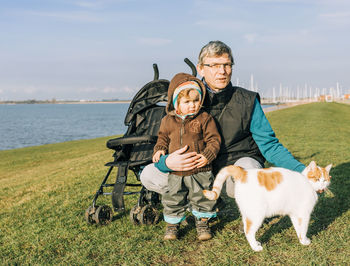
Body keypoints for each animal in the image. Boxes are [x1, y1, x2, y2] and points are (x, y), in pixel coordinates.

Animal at [202, 160, 330, 251]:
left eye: (325, 180)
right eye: (317, 178)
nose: (322, 185)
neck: (307, 183)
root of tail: (244, 172)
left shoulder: (295, 214)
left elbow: (298, 229)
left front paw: (301, 240)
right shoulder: (303, 214)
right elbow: (303, 229)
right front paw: (305, 241)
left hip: (248, 213)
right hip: (256, 215)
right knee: (248, 231)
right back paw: (256, 247)